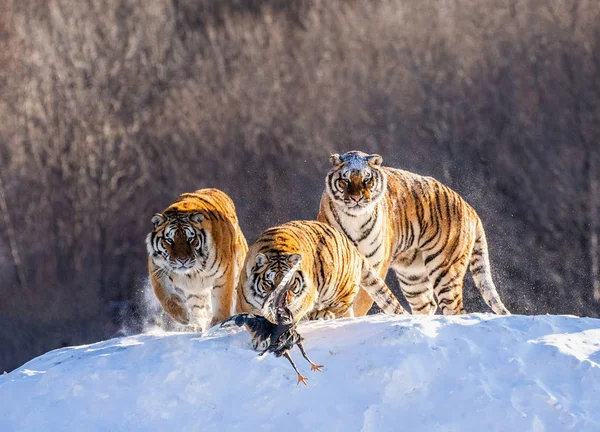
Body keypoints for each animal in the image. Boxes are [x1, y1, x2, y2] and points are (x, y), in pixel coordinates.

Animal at [146, 187, 247, 332]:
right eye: (170, 240)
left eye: (190, 239)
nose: (182, 260)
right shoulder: (158, 269)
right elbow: (165, 297)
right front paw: (183, 316)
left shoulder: (225, 273)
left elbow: (222, 299)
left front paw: (218, 322)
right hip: (195, 292)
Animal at [236, 219, 408, 324]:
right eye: (269, 283)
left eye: (290, 284)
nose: (281, 304)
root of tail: (351, 246)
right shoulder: (244, 304)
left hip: (340, 286)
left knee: (343, 305)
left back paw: (322, 314)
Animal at [316, 150, 508, 316]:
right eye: (345, 180)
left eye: (367, 179)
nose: (356, 198)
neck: (354, 218)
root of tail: (469, 207)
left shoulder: (374, 264)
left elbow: (362, 301)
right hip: (413, 277)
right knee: (427, 304)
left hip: (445, 269)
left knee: (454, 308)